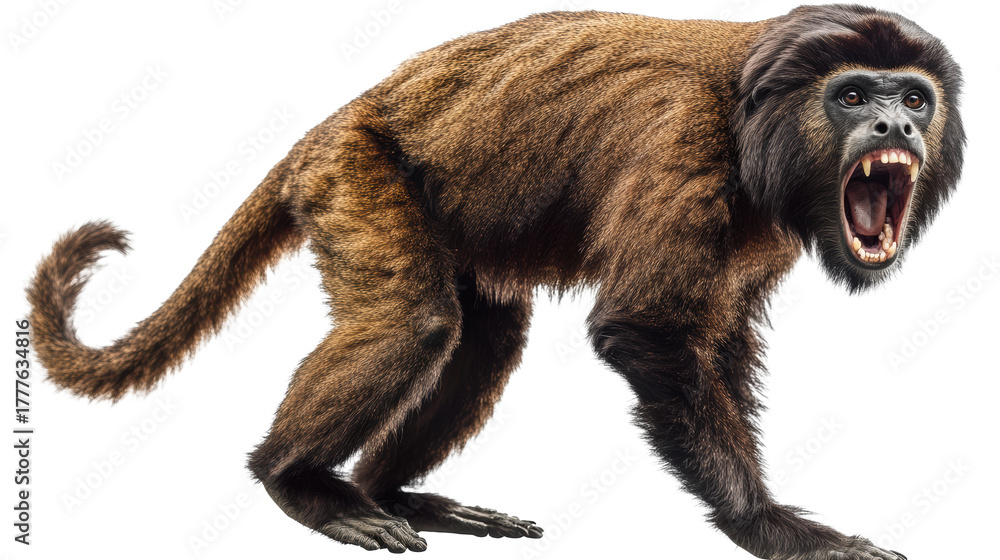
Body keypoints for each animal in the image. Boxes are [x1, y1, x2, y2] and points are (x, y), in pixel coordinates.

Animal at [26, 5, 964, 559]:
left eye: (913, 100)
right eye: (854, 97)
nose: (893, 125)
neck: (758, 111)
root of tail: (327, 126)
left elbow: (717, 344)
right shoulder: (686, 147)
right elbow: (644, 331)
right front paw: (770, 528)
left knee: (480, 342)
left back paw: (392, 492)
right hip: (354, 175)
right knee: (414, 324)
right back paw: (297, 483)